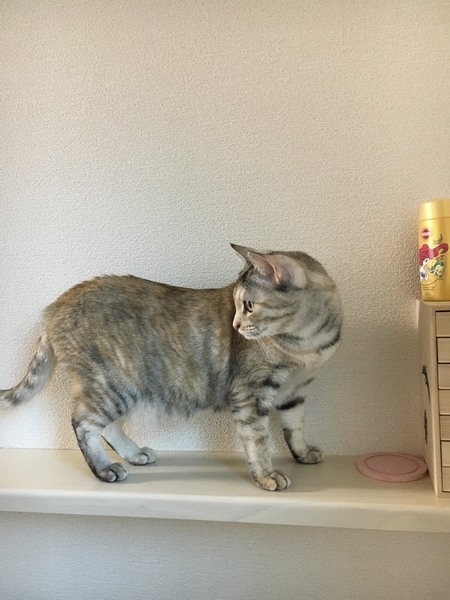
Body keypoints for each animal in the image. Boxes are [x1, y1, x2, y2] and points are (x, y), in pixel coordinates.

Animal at [0, 244, 342, 491]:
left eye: (247, 305)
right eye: (239, 305)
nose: (235, 325)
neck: (306, 346)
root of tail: (53, 307)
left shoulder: (295, 392)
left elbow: (295, 428)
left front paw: (303, 454)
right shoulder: (250, 394)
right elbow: (258, 440)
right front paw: (267, 475)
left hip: (121, 386)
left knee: (106, 426)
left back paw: (134, 454)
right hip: (111, 383)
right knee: (84, 424)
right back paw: (105, 469)